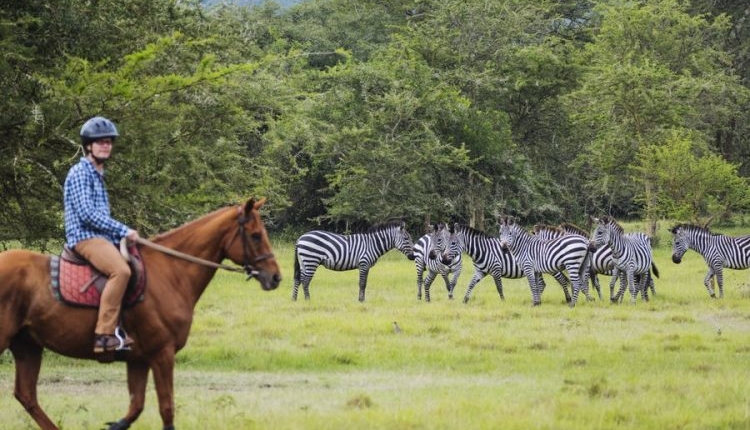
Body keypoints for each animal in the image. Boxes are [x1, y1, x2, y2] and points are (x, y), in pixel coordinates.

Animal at [0, 197, 282, 430]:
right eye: (256, 235)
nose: (276, 277)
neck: (170, 273)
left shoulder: (138, 359)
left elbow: (135, 407)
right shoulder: (162, 354)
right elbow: (166, 409)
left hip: (27, 346)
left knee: (26, 395)